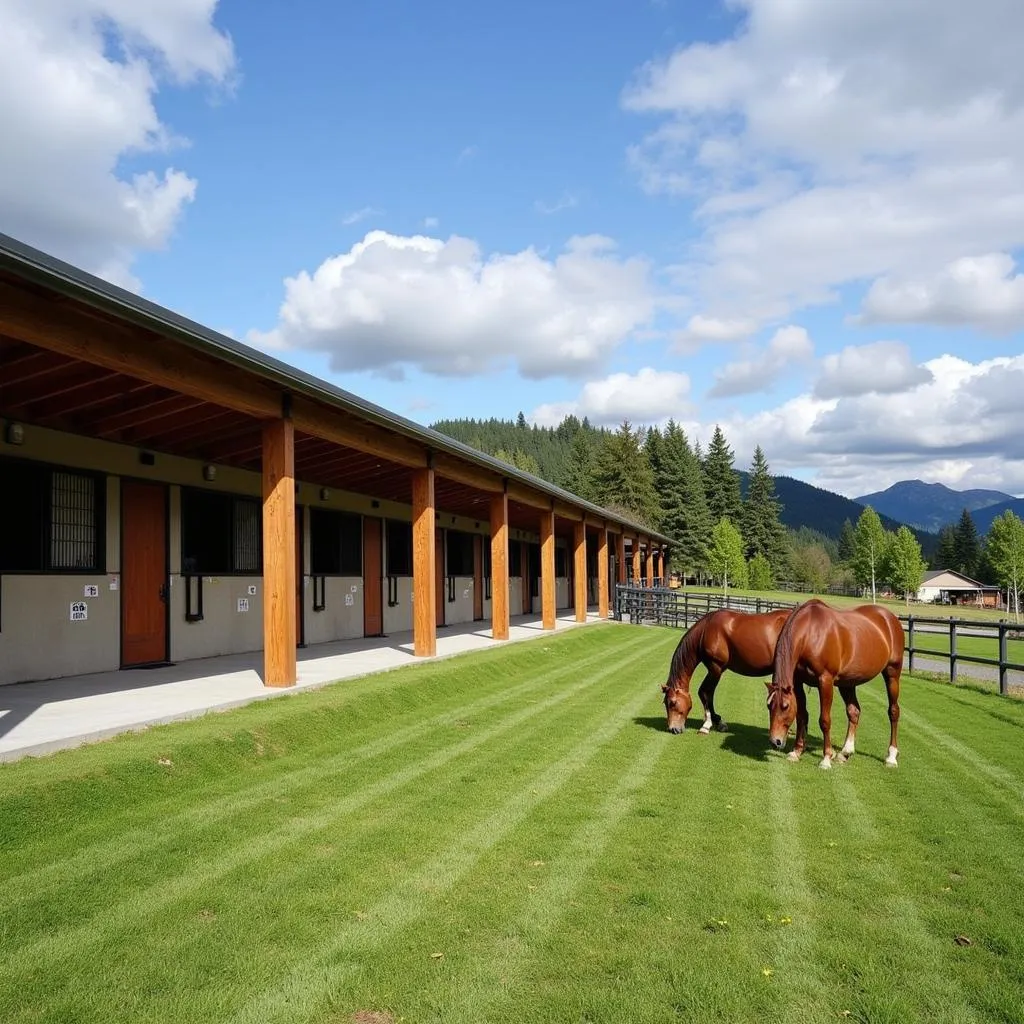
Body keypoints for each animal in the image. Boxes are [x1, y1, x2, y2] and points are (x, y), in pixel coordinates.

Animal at [659, 606, 794, 737]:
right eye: (665, 703)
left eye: (672, 703)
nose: (673, 729)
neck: (705, 630)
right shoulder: (716, 670)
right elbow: (708, 694)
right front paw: (717, 721)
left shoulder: (715, 668)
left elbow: (704, 692)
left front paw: (707, 724)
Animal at [770, 598, 905, 770]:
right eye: (769, 706)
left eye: (785, 707)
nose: (775, 741)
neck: (811, 633)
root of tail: (890, 618)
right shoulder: (797, 682)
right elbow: (801, 715)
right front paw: (797, 752)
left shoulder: (825, 681)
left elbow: (825, 720)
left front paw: (826, 758)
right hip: (848, 683)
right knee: (854, 711)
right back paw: (845, 752)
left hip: (892, 673)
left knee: (893, 711)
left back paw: (891, 756)